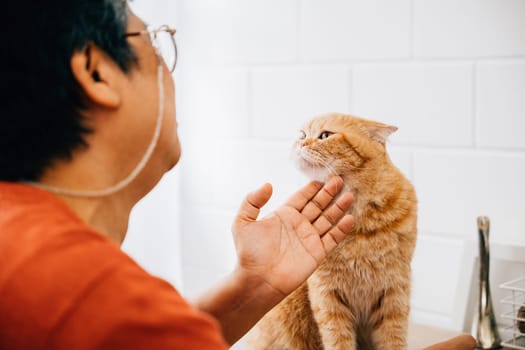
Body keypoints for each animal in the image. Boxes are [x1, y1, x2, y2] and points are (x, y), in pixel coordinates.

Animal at [248, 113, 416, 348]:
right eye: (302, 134)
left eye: (325, 135)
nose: (301, 143)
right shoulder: (327, 297)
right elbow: (338, 340)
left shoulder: (395, 292)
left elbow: (393, 340)